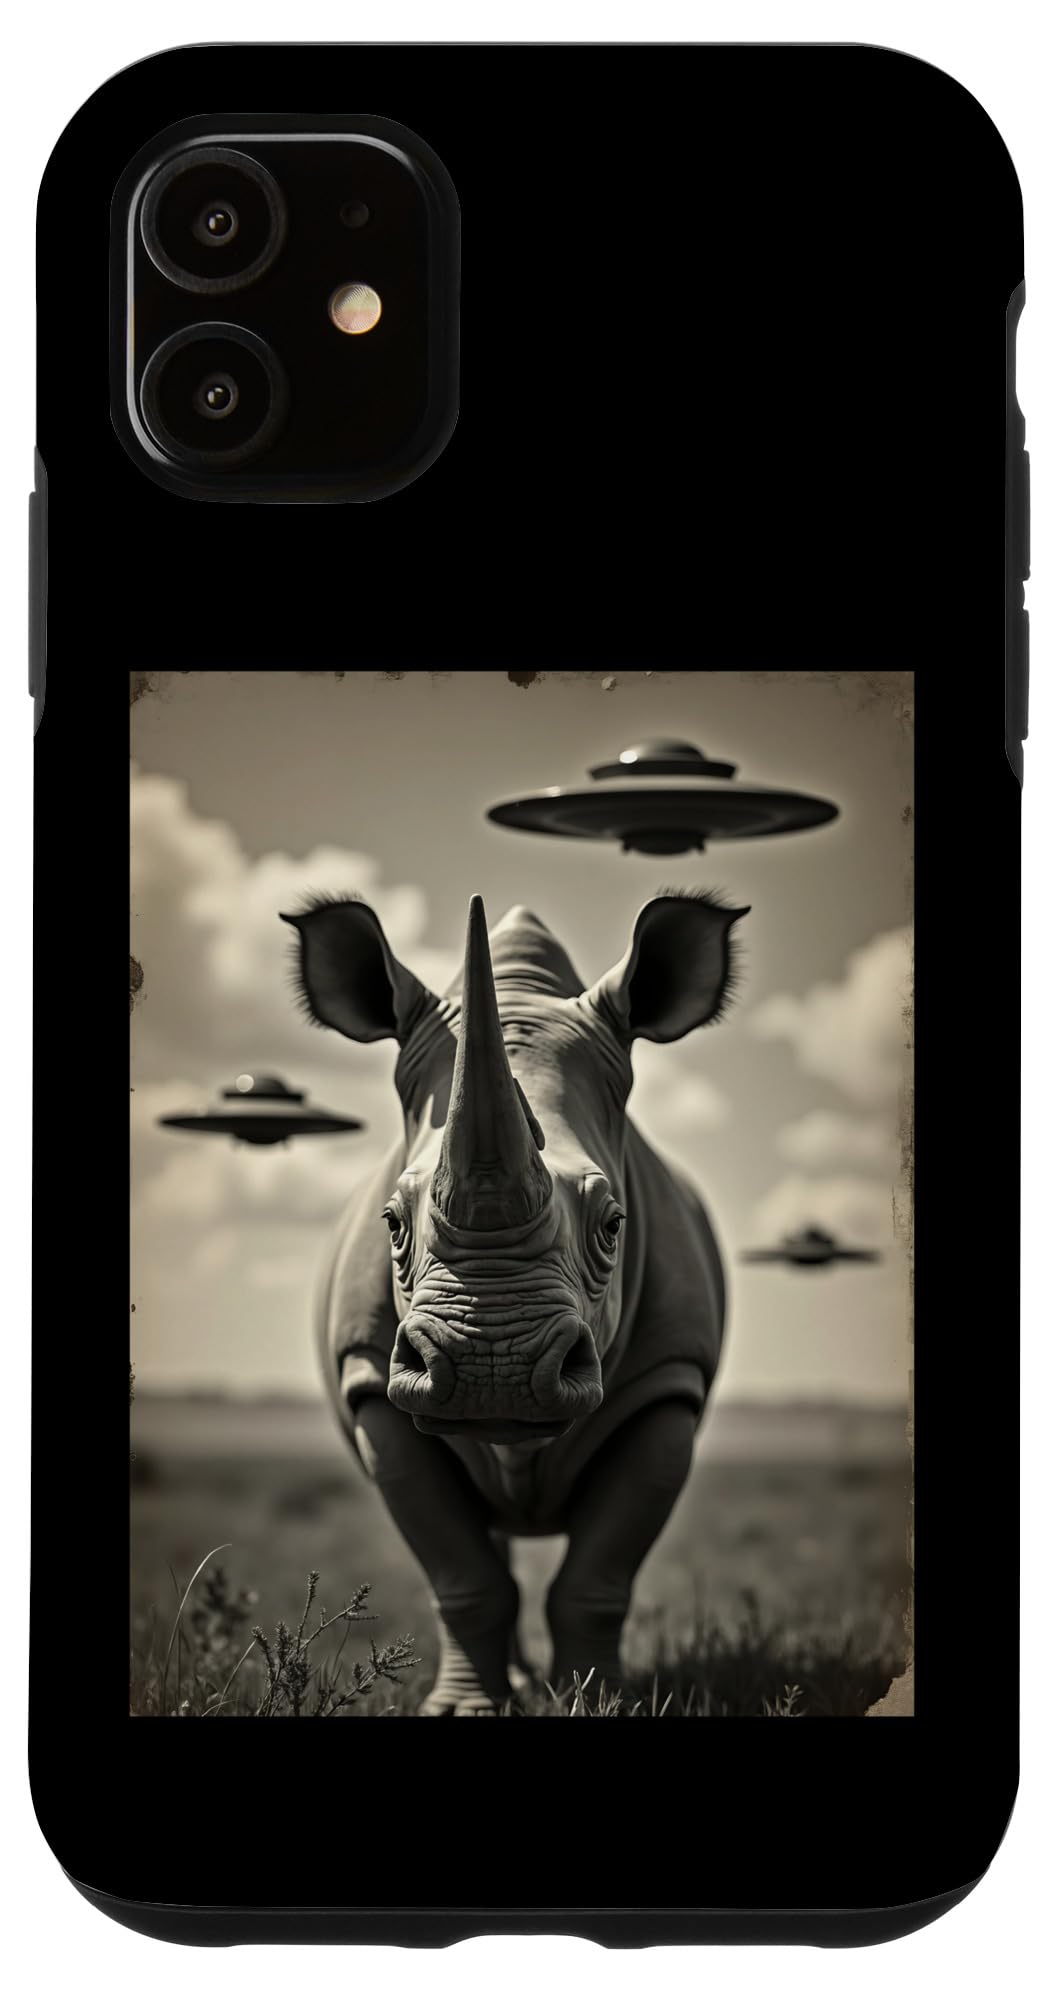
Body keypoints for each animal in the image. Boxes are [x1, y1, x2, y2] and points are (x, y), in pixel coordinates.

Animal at [282, 889, 748, 1712]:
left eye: (615, 1224)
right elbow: (462, 1574)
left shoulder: (668, 1381)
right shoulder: (370, 1376)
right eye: (392, 1223)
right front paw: (464, 1709)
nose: (490, 1366)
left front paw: (598, 1701)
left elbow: (597, 1579)